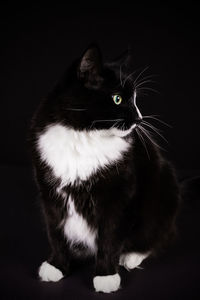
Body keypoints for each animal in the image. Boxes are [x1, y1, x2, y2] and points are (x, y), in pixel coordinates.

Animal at [28, 44, 180, 292]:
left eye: (134, 99)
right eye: (117, 99)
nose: (139, 119)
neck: (85, 135)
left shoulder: (118, 196)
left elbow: (110, 236)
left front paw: (106, 275)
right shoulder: (49, 193)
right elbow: (56, 232)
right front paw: (57, 266)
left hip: (164, 190)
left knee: (159, 234)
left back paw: (131, 256)